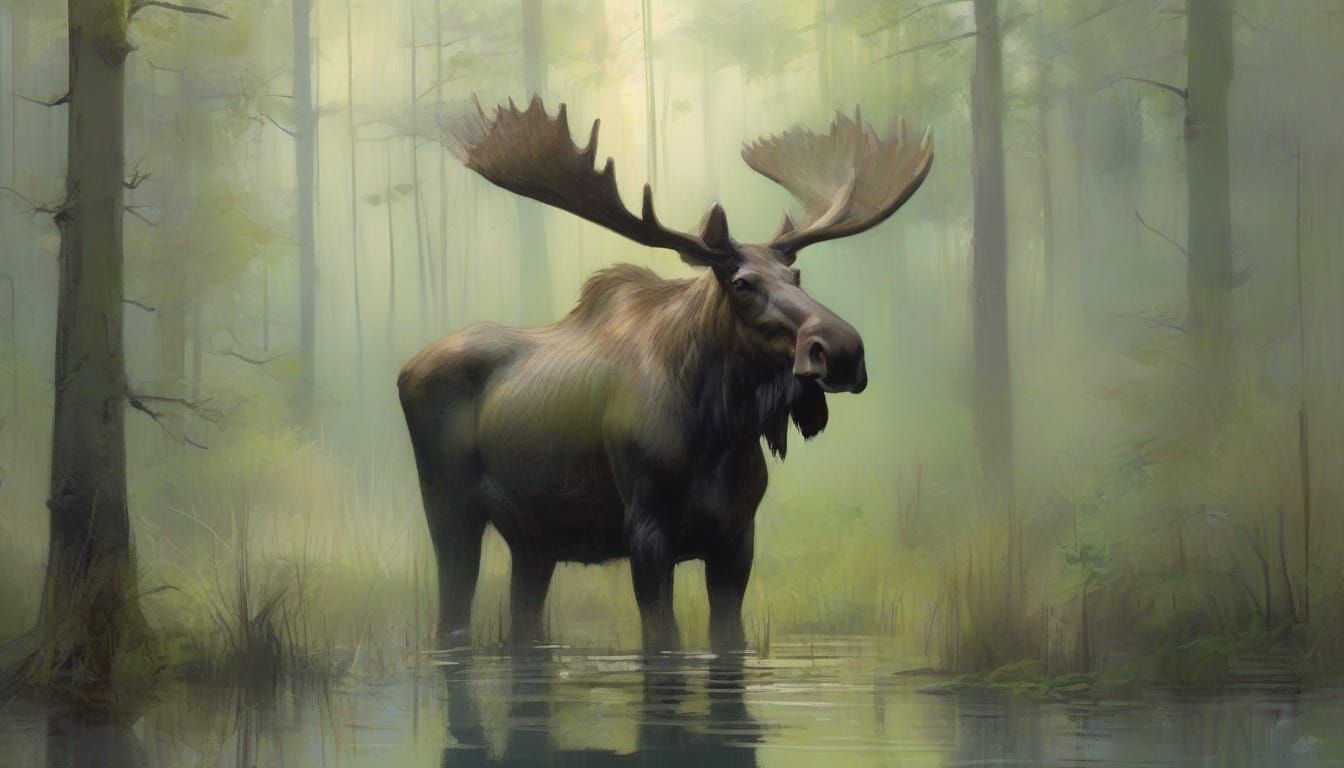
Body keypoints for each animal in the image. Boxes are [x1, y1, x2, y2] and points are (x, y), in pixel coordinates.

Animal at [398, 96, 932, 653]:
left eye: (796, 274)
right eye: (741, 283)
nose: (843, 349)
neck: (718, 433)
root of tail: (407, 369)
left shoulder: (737, 537)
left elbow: (729, 640)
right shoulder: (648, 533)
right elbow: (663, 643)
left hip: (533, 538)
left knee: (523, 624)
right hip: (450, 509)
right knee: (452, 615)